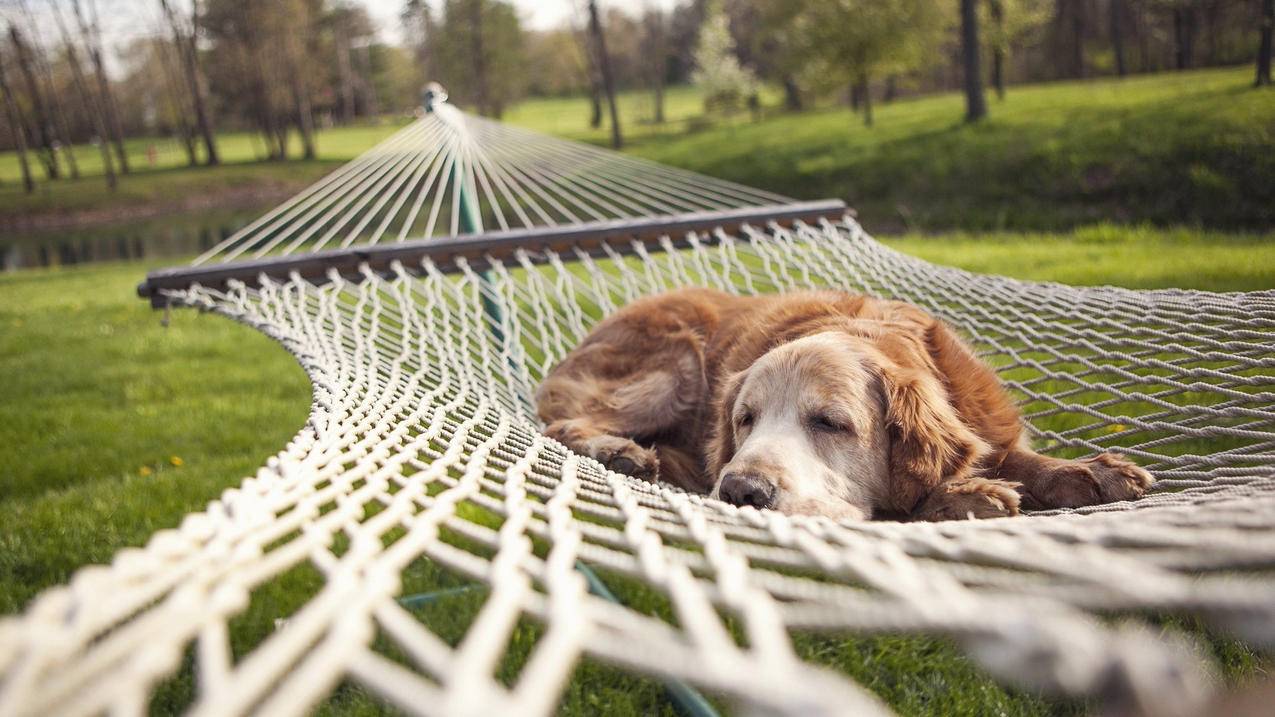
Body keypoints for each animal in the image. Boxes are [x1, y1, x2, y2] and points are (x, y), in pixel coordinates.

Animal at [532, 287, 1152, 515]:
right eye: (745, 419)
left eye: (830, 423)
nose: (741, 492)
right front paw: (964, 495)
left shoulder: (985, 422)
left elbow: (1014, 454)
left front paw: (1088, 471)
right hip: (676, 361)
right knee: (561, 423)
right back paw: (619, 450)